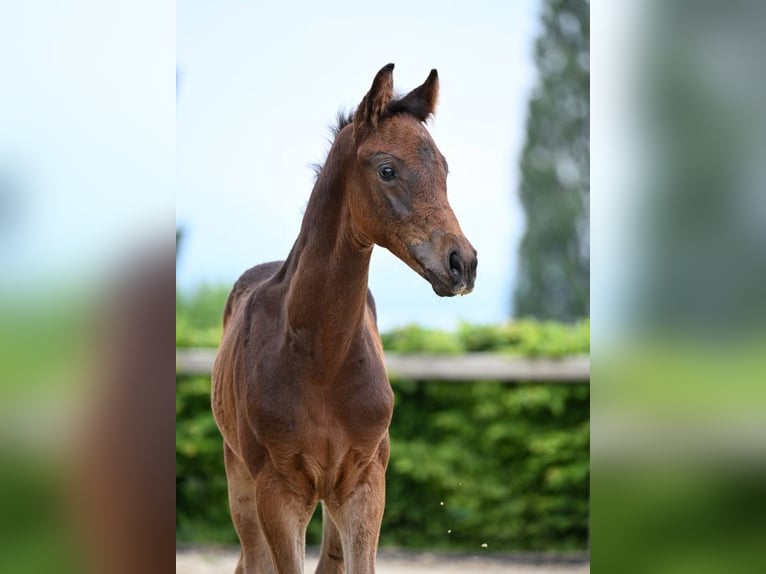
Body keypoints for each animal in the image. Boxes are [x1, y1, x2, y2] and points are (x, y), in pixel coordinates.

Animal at [211, 63, 477, 574]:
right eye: (387, 169)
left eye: (445, 169)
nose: (462, 263)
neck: (323, 357)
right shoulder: (278, 490)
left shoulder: (364, 483)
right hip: (241, 482)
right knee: (252, 557)